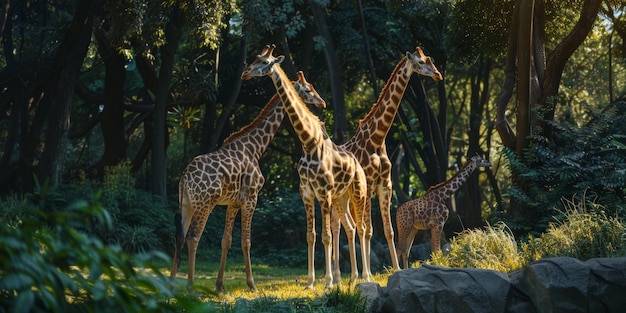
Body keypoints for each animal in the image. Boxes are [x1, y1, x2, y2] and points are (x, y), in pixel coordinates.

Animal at [169, 69, 324, 292]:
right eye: (308, 89)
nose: (322, 102)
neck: (256, 147)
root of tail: (184, 179)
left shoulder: (232, 203)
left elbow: (226, 240)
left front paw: (219, 286)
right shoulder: (251, 198)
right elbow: (246, 241)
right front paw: (252, 285)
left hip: (187, 204)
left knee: (179, 238)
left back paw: (171, 285)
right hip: (204, 203)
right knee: (193, 237)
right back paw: (190, 288)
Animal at [238, 44, 366, 288]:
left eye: (265, 62)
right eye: (255, 59)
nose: (245, 73)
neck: (308, 142)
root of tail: (358, 164)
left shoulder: (323, 193)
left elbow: (326, 235)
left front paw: (328, 282)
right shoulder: (306, 192)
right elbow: (311, 235)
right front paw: (310, 282)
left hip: (358, 192)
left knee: (362, 228)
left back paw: (366, 276)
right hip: (341, 198)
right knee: (351, 227)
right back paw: (353, 278)